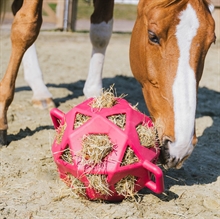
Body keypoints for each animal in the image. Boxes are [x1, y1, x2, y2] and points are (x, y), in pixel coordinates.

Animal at [0, 0, 216, 169]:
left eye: (211, 41)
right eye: (152, 36)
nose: (180, 146)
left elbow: (101, 32)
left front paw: (95, 97)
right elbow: (26, 27)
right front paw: (2, 112)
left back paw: (40, 90)